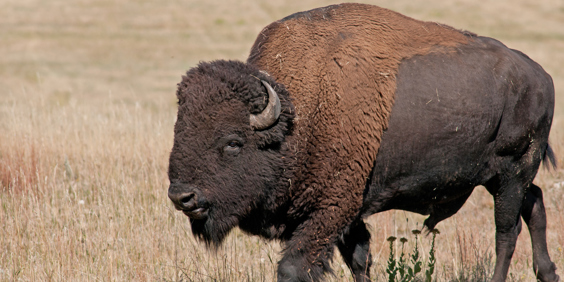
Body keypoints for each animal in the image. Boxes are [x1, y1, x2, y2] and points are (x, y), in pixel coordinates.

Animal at [165, 2, 556, 282]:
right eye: (179, 131)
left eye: (233, 142)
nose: (183, 197)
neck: (299, 113)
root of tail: (541, 76)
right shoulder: (348, 214)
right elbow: (359, 261)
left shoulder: (331, 209)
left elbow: (295, 267)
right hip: (502, 177)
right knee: (534, 205)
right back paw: (548, 273)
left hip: (512, 171)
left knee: (507, 231)